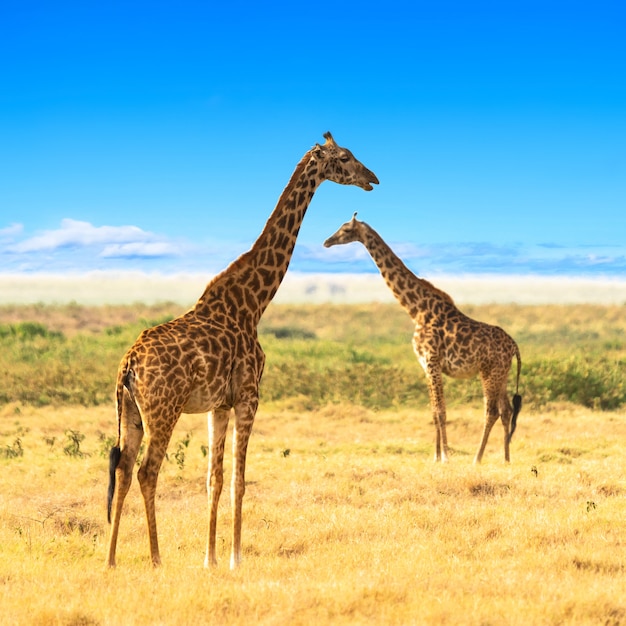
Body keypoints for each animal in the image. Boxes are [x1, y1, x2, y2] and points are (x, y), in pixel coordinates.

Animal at [105, 134, 378, 568]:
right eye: (346, 157)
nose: (373, 178)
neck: (253, 302)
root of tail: (128, 364)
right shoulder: (250, 395)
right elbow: (239, 480)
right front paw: (235, 558)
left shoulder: (218, 404)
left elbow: (213, 479)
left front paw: (211, 559)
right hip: (164, 409)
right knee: (148, 471)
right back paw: (156, 559)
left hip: (130, 410)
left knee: (124, 468)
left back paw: (111, 559)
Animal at [324, 214, 520, 464]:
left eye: (346, 229)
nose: (327, 242)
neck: (416, 310)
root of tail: (514, 345)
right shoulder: (425, 364)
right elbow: (434, 412)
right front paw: (435, 457)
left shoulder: (433, 361)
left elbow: (442, 411)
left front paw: (445, 456)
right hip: (501, 374)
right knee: (507, 411)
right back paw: (506, 458)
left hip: (489, 373)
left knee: (492, 411)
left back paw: (477, 458)